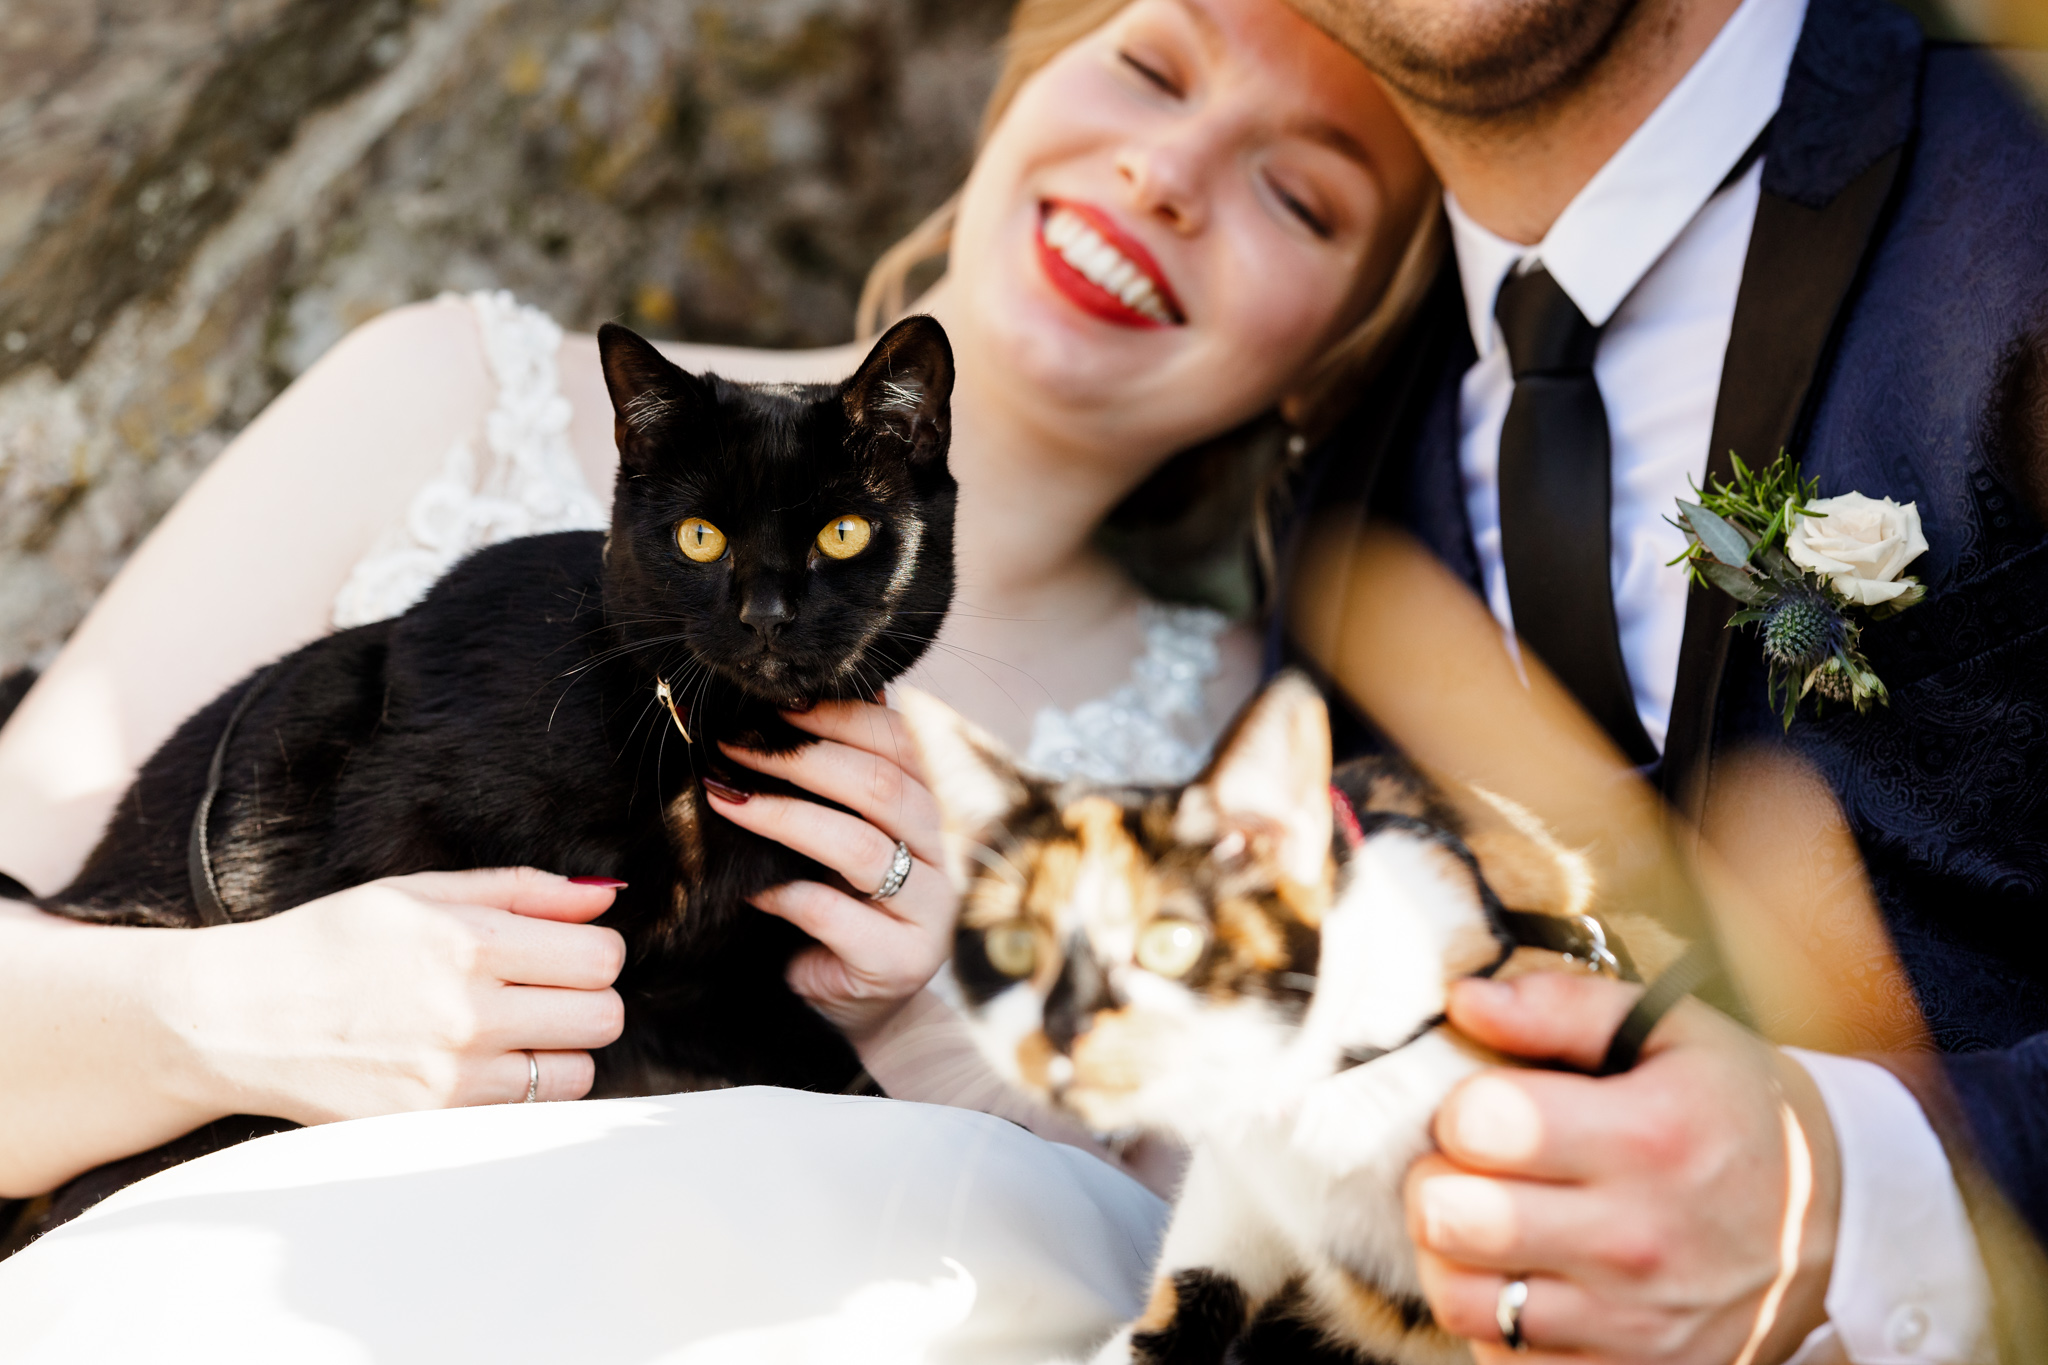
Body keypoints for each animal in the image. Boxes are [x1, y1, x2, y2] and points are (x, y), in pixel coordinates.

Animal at [29, 315, 958, 1219]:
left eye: (843, 534)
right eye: (701, 538)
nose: (766, 615)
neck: (697, 748)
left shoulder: (712, 983)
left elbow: (847, 1079)